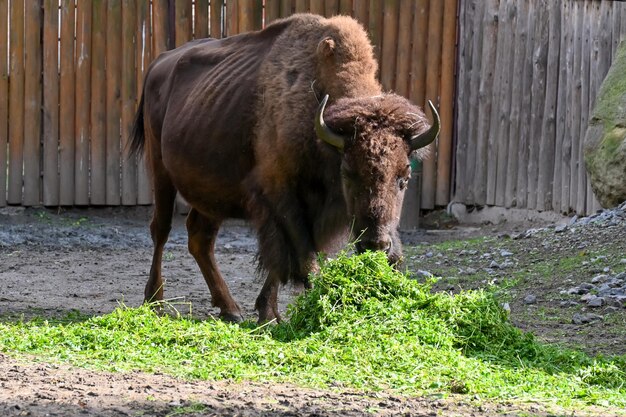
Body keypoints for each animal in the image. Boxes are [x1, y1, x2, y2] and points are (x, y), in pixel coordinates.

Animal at [129, 13, 436, 324]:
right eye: (348, 173)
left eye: (404, 177)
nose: (378, 245)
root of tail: (159, 63)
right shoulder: (280, 197)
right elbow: (300, 257)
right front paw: (289, 312)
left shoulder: (311, 212)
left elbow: (286, 261)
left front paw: (268, 311)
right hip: (160, 171)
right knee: (161, 230)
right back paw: (155, 301)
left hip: (209, 191)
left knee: (200, 238)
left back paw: (230, 309)